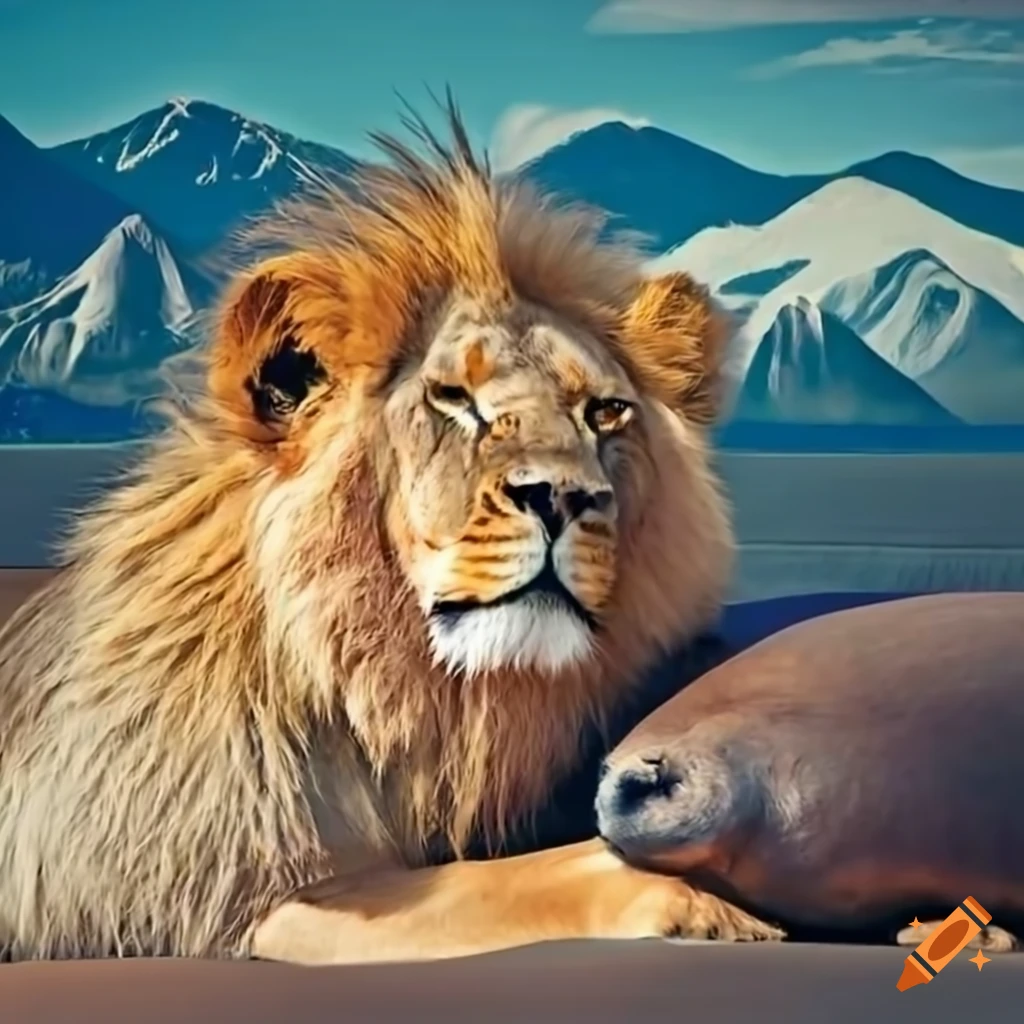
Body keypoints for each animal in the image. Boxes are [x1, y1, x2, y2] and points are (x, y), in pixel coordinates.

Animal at [0, 100, 783, 964]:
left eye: (605, 412)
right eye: (454, 399)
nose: (563, 497)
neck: (408, 696)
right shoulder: (243, 902)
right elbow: (515, 880)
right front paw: (712, 905)